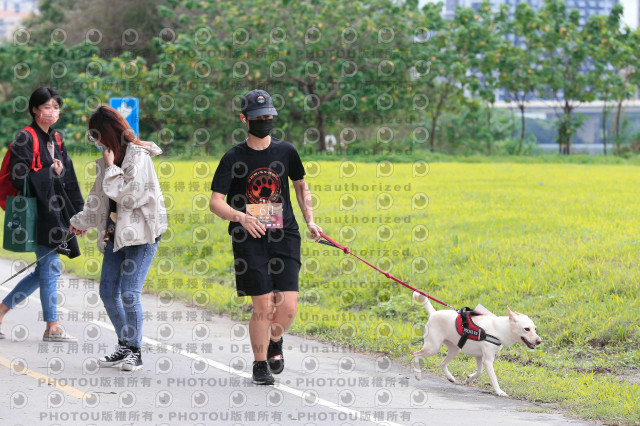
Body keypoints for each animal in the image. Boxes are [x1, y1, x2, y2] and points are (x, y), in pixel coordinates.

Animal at [412, 291, 541, 397]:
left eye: (535, 329)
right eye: (526, 329)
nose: (539, 341)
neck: (500, 328)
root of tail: (433, 313)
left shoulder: (479, 357)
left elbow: (479, 372)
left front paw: (469, 379)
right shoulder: (487, 361)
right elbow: (494, 379)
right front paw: (499, 392)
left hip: (455, 350)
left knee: (442, 363)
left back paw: (450, 377)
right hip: (432, 348)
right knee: (415, 354)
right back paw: (417, 374)